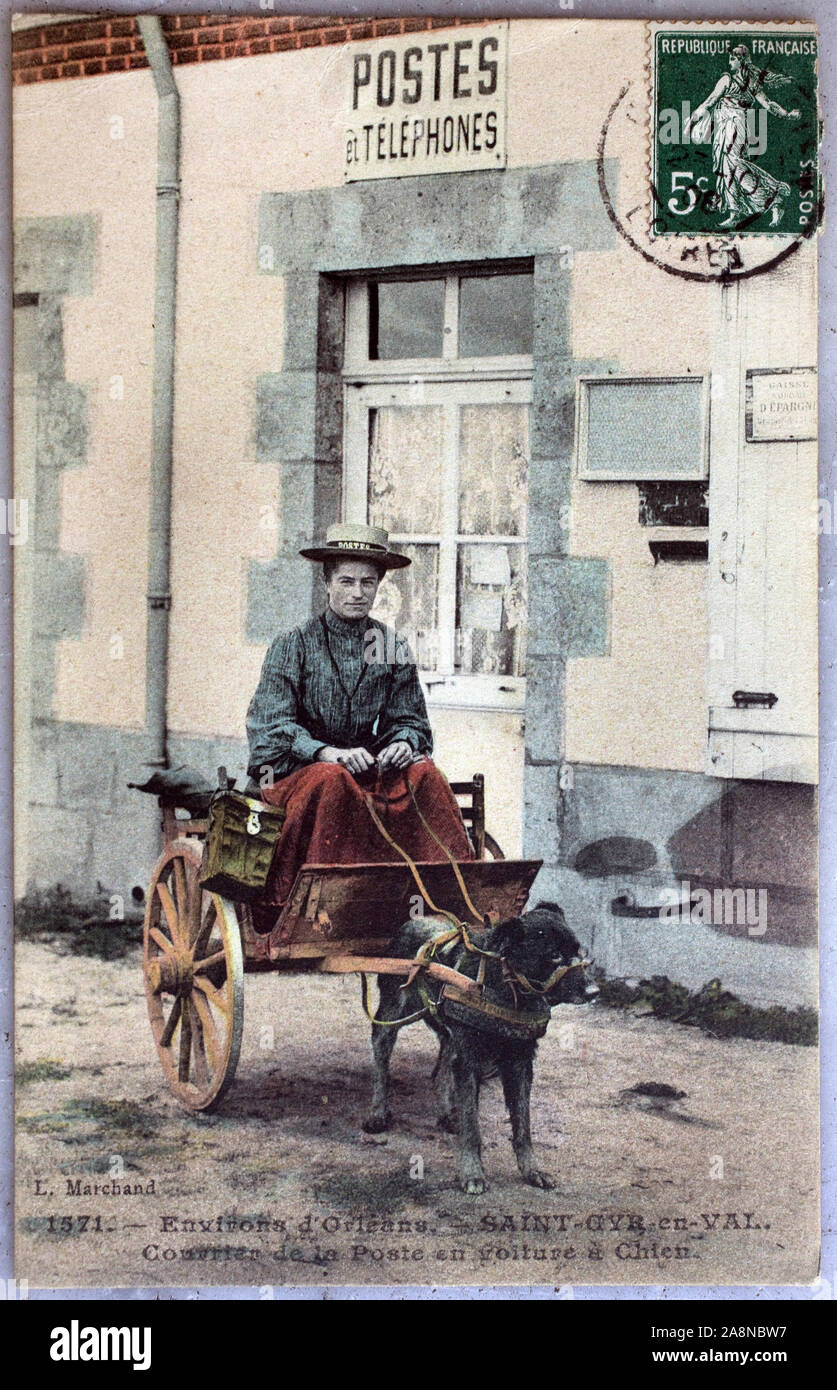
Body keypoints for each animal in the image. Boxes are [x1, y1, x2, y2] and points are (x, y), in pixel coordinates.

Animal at [361, 900, 595, 1195]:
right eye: (553, 955)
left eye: (577, 951)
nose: (594, 992)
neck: (505, 985)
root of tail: (414, 921)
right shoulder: (470, 1062)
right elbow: (473, 1127)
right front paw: (472, 1173)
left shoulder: (520, 1064)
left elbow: (523, 1126)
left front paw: (531, 1171)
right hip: (391, 1016)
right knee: (381, 1060)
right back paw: (378, 1113)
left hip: (448, 1031)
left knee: (443, 1067)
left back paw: (447, 1114)